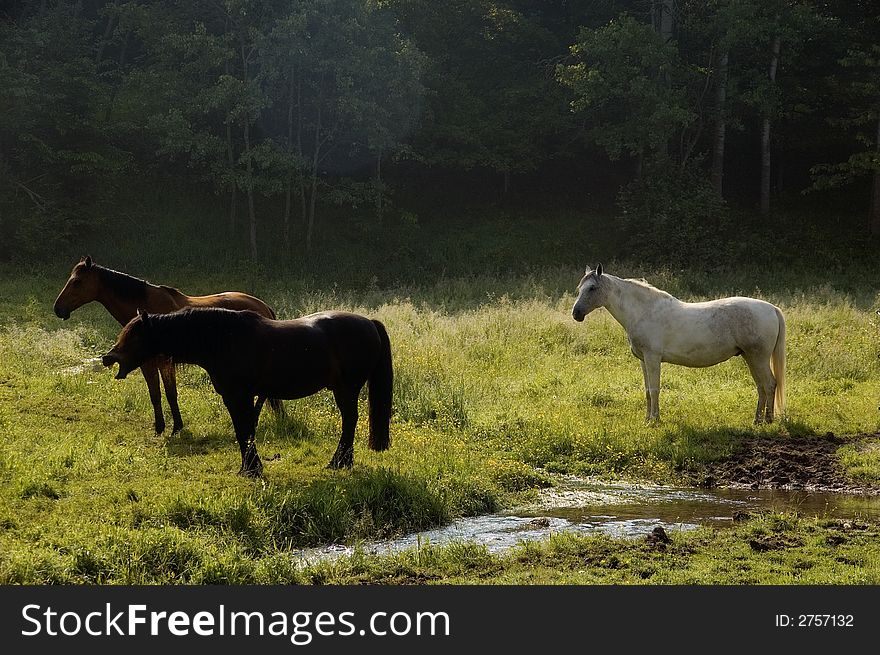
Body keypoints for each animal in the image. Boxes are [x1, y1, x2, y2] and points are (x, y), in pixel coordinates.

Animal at [54, 258, 278, 436]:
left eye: (77, 281)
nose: (58, 309)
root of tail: (264, 307)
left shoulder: (164, 362)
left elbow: (170, 393)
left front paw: (176, 427)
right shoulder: (147, 364)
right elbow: (155, 395)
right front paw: (160, 427)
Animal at [101, 308, 394, 476]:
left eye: (134, 335)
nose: (108, 357)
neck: (222, 339)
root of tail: (370, 323)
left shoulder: (239, 395)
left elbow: (244, 431)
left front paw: (252, 469)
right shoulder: (235, 397)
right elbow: (244, 432)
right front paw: (248, 467)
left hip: (347, 388)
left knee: (349, 422)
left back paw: (338, 462)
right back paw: (343, 462)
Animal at [576, 266, 788, 426]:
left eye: (592, 288)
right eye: (580, 288)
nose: (576, 313)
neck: (645, 311)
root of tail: (771, 308)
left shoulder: (653, 358)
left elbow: (655, 389)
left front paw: (654, 420)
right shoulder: (644, 360)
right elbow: (647, 390)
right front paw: (647, 419)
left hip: (758, 357)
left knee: (770, 384)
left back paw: (768, 420)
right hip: (750, 357)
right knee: (761, 386)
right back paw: (757, 420)